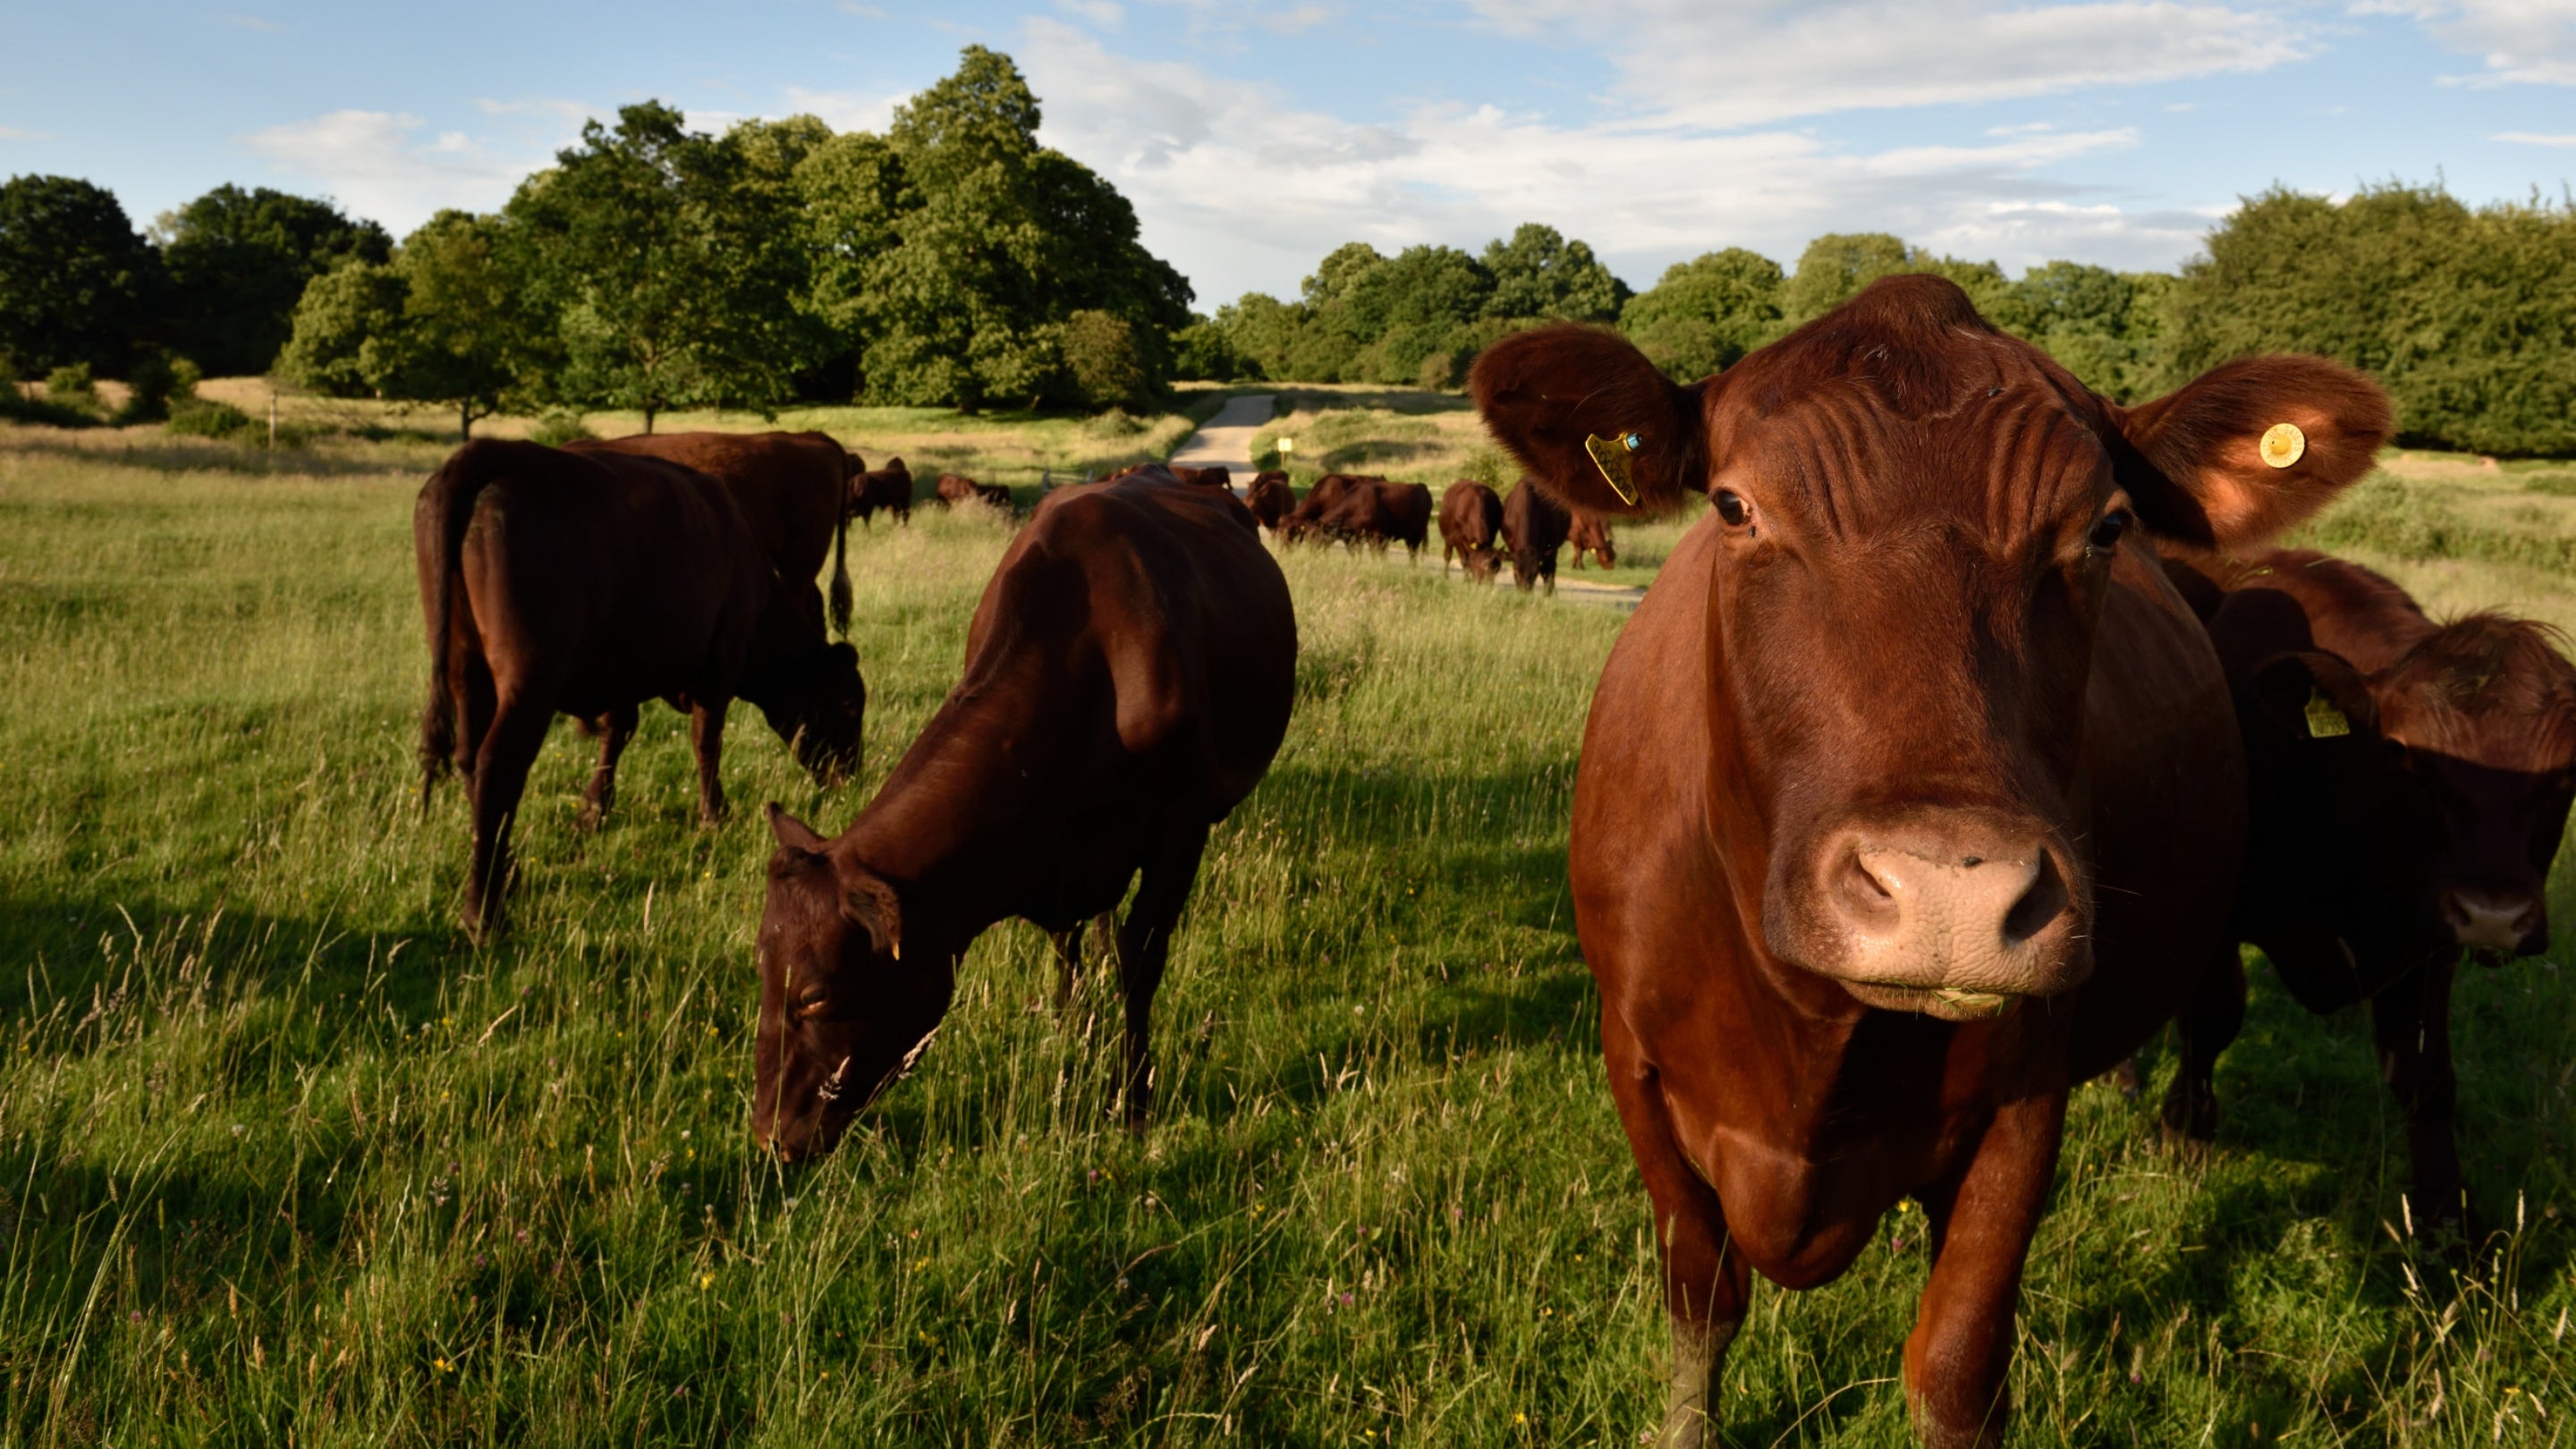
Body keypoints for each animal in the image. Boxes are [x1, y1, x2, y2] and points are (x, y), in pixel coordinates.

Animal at [753, 467, 1297, 1160]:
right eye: (761, 972)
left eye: (815, 994)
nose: (769, 1134)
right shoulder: (1060, 855)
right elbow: (1067, 942)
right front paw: (1067, 1026)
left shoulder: (1181, 827)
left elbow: (1141, 959)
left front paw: (1134, 1104)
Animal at [2159, 547, 2576, 1235]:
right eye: (2403, 752)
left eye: (2568, 771)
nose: (2494, 915)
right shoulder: (2214, 917)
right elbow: (2210, 1023)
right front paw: (2184, 1138)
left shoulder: (2429, 945)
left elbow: (2426, 1077)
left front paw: (2446, 1218)